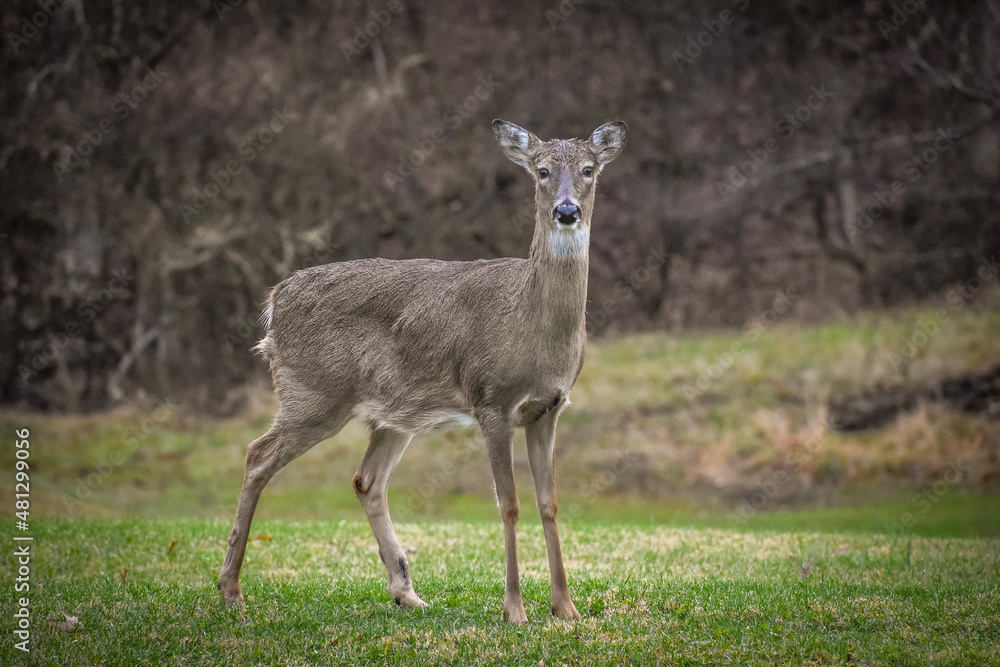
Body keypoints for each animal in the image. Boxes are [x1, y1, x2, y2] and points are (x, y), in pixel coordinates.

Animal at [218, 119, 626, 623]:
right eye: (542, 170)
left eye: (589, 169)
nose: (566, 211)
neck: (531, 325)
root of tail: (275, 302)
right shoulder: (491, 399)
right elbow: (509, 504)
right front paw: (514, 610)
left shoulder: (549, 408)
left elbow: (548, 502)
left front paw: (565, 608)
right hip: (312, 391)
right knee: (258, 454)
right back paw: (231, 589)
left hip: (391, 414)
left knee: (366, 480)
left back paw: (406, 592)